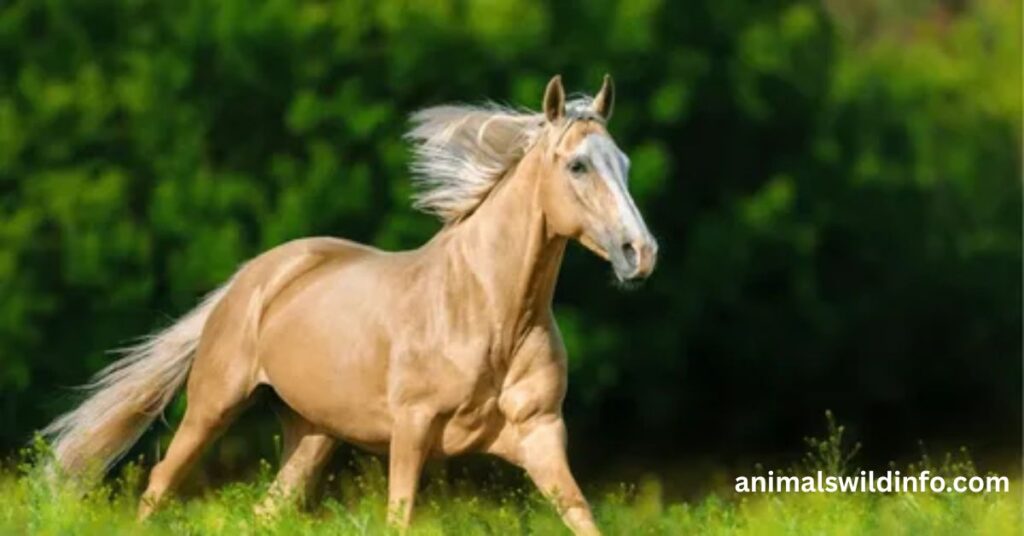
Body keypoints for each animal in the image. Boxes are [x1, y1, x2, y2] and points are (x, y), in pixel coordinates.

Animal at [42, 74, 657, 535]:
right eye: (577, 165)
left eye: (625, 164)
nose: (641, 253)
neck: (489, 314)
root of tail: (252, 277)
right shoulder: (411, 430)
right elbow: (398, 519)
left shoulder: (541, 433)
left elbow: (582, 517)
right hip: (213, 405)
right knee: (159, 485)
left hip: (311, 435)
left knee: (266, 511)